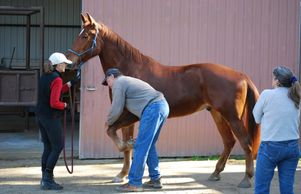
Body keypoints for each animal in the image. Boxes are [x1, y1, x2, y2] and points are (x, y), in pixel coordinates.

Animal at [67, 13, 258, 188]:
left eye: (85, 36)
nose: (69, 61)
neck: (129, 69)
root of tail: (241, 75)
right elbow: (125, 145)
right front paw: (122, 174)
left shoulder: (129, 115)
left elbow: (116, 136)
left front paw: (124, 166)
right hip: (217, 114)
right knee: (229, 141)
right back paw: (216, 173)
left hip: (232, 116)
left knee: (245, 143)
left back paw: (246, 179)